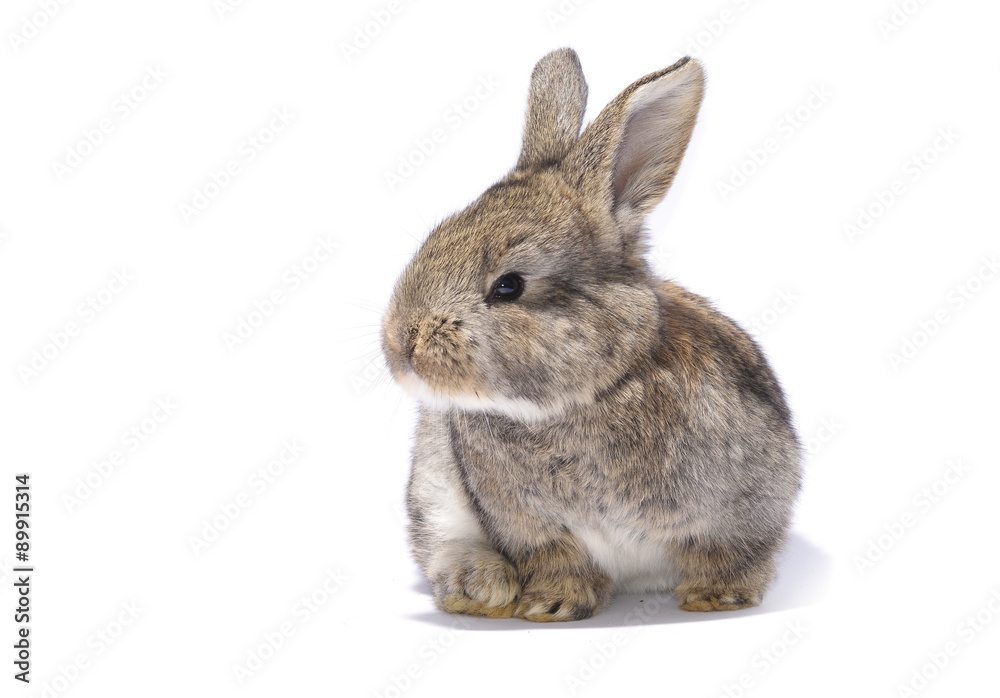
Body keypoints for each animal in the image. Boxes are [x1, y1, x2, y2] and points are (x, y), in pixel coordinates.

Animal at [381, 48, 802, 622]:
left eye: (509, 285)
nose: (401, 342)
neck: (592, 394)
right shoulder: (532, 528)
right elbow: (560, 561)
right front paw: (551, 605)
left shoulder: (741, 507)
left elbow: (727, 553)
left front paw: (717, 598)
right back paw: (481, 588)